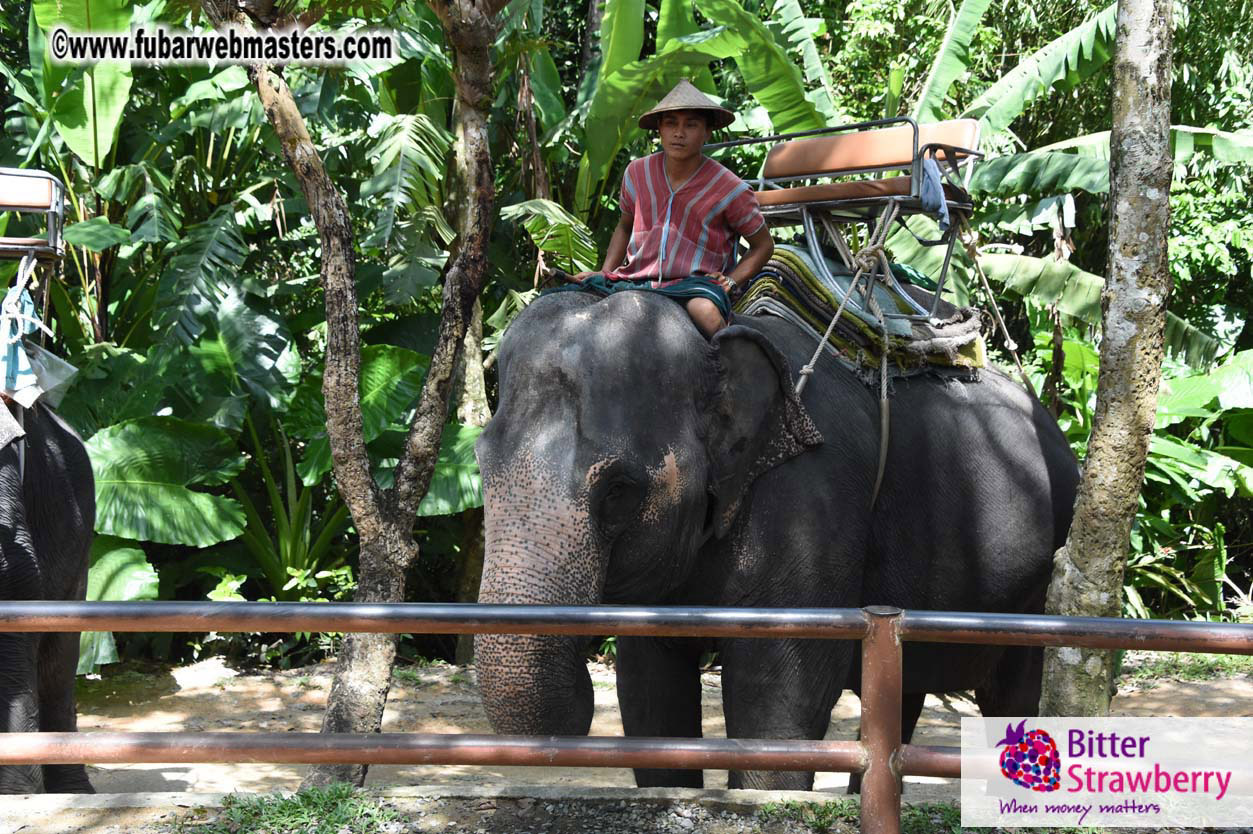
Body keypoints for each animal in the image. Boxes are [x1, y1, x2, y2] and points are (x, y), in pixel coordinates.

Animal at [473, 289, 1079, 791]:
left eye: (619, 489)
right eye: (480, 465)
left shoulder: (814, 502)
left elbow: (780, 695)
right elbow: (649, 689)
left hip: (1039, 588)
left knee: (1014, 695)